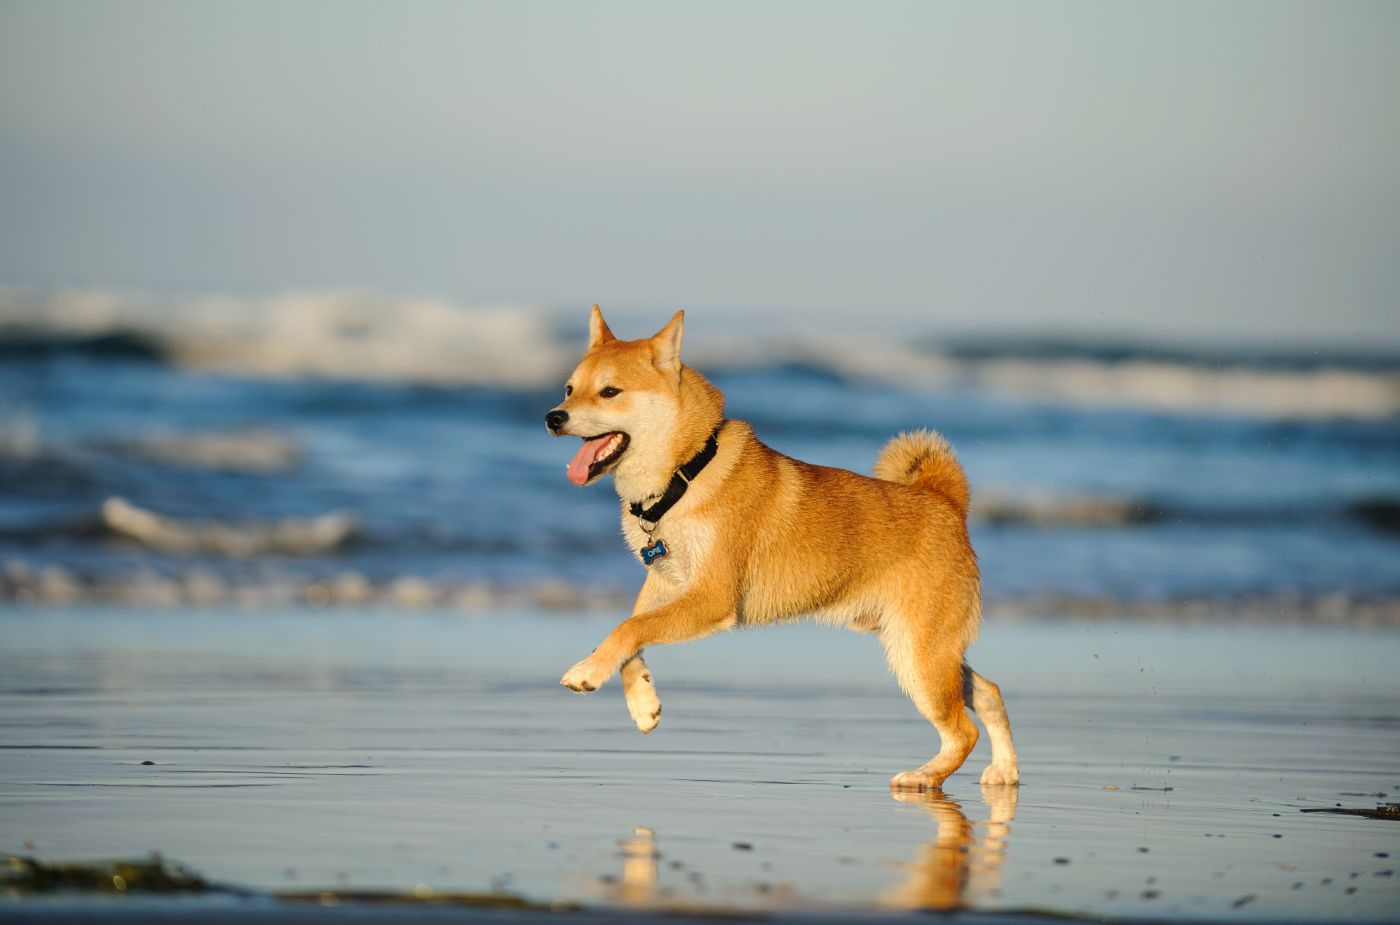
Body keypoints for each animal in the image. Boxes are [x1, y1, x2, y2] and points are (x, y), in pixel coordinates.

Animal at [543, 306, 1019, 789]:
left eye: (610, 391)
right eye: (569, 388)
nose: (552, 417)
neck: (687, 473)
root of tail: (946, 502)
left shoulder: (712, 596)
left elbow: (629, 629)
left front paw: (587, 671)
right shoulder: (667, 581)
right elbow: (630, 633)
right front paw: (642, 703)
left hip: (918, 657)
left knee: (962, 730)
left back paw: (924, 776)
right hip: (925, 648)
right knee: (990, 693)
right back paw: (1004, 771)